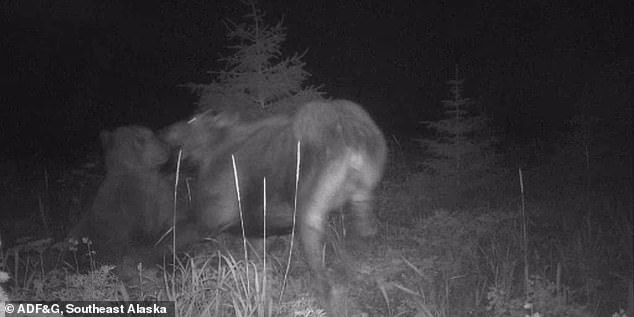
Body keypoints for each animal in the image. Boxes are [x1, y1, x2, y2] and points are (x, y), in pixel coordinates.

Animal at [163, 99, 386, 312]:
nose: (166, 131)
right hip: (361, 195)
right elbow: (256, 261)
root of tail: (354, 137)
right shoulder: (259, 226)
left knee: (321, 267)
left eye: (192, 120)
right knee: (364, 237)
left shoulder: (213, 216)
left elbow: (175, 239)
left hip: (309, 207)